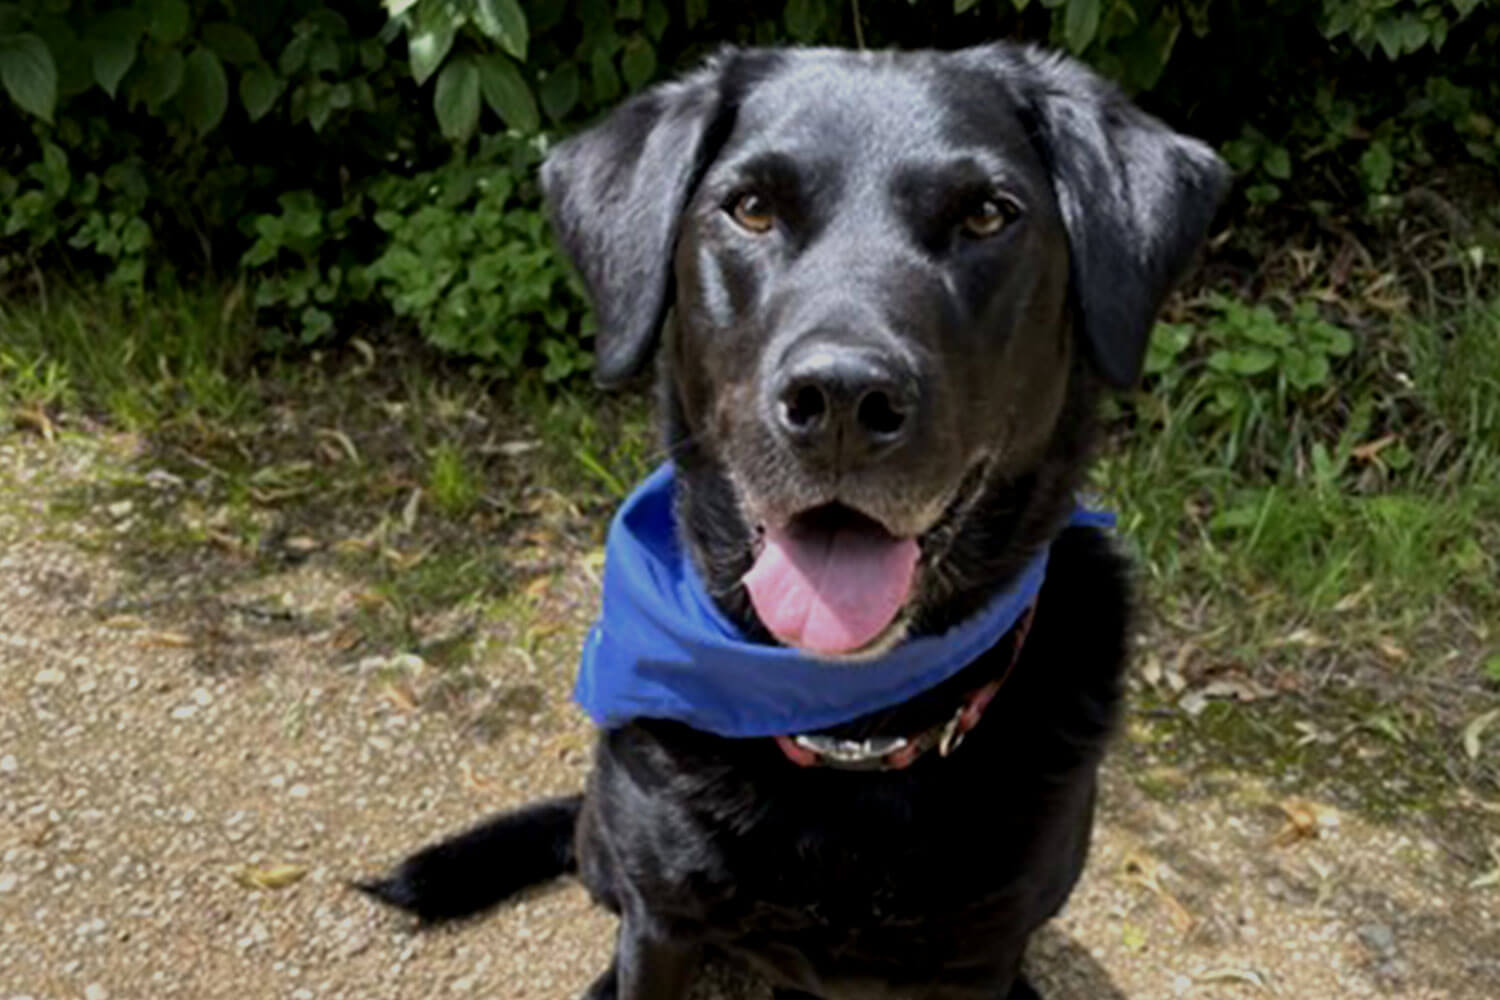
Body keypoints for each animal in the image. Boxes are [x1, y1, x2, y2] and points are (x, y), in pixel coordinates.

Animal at [360, 43, 1218, 1000]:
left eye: (988, 215)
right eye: (752, 209)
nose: (842, 398)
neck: (849, 731)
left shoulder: (978, 955)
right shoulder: (662, 922)